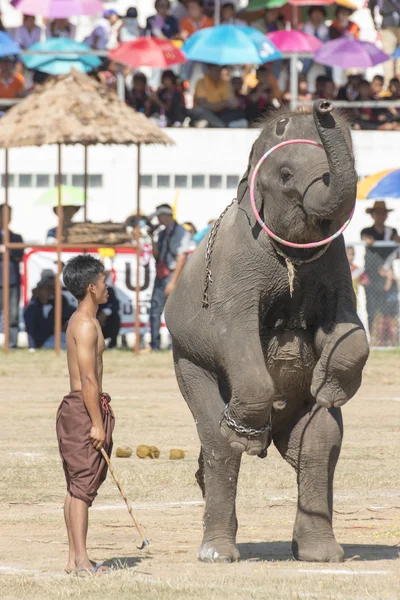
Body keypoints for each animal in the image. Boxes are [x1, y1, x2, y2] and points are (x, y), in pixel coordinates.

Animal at [165, 101, 368, 564]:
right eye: (286, 175)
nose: (324, 105)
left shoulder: (337, 263)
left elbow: (349, 330)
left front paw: (331, 389)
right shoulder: (234, 267)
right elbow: (232, 331)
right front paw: (242, 430)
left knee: (319, 444)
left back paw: (321, 554)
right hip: (187, 363)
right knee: (216, 441)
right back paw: (219, 548)